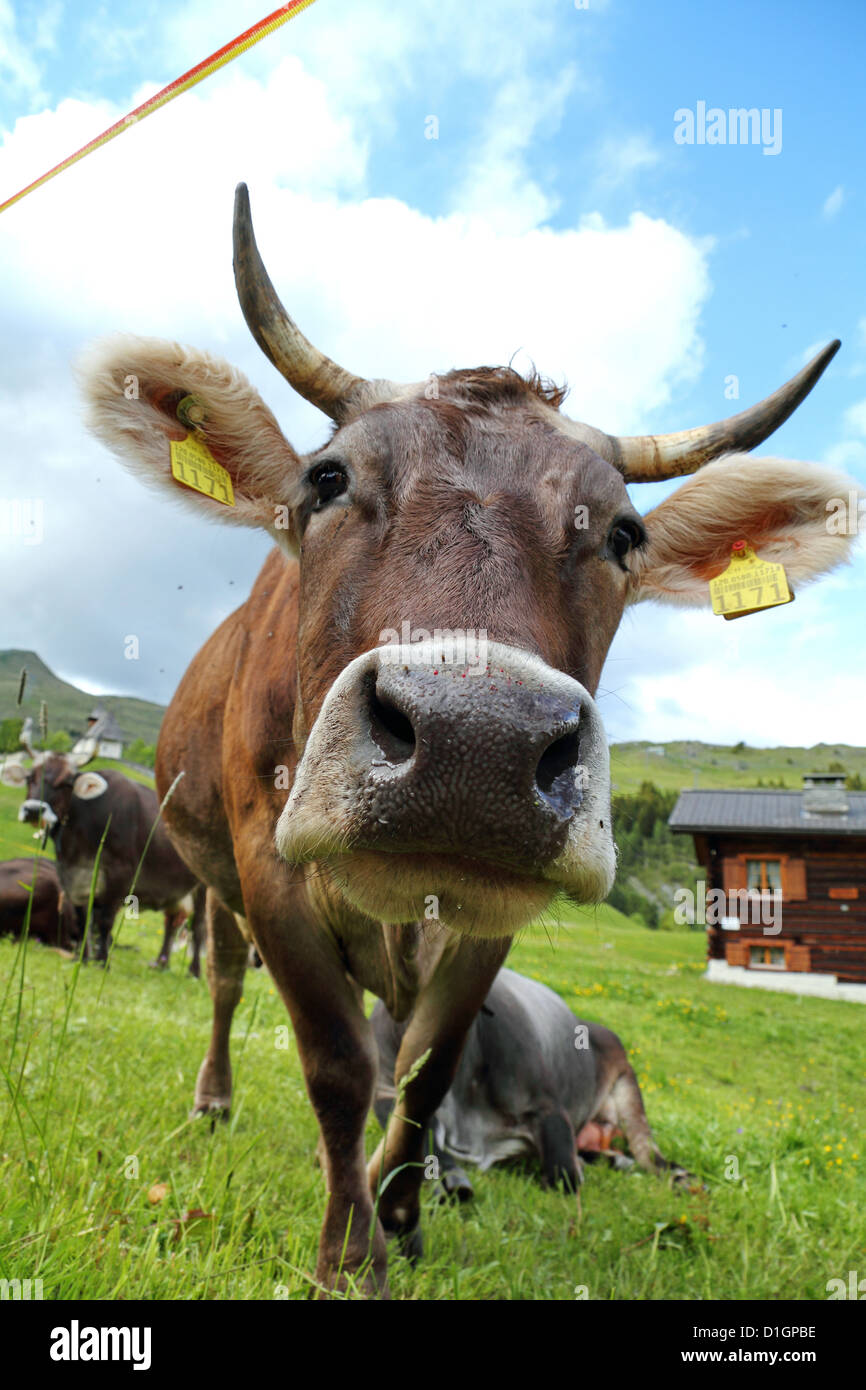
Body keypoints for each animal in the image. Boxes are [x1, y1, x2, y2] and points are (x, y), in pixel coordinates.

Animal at [0, 751, 205, 974]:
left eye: (66, 783)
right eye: (30, 777)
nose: (33, 810)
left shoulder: (119, 876)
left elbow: (105, 921)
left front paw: (102, 962)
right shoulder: (72, 878)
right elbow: (84, 920)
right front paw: (83, 958)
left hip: (204, 887)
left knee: (198, 926)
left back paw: (193, 971)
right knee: (172, 921)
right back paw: (161, 963)